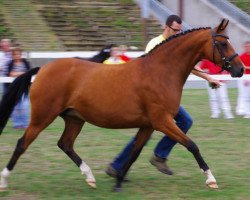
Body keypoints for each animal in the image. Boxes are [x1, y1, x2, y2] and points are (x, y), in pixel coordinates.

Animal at [0, 19, 243, 192]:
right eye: (223, 43)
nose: (240, 70)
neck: (160, 72)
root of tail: (42, 69)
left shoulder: (148, 125)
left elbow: (134, 153)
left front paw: (117, 181)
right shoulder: (162, 121)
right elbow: (192, 145)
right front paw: (211, 179)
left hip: (74, 118)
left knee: (65, 144)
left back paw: (90, 177)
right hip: (43, 116)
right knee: (23, 143)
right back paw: (4, 180)